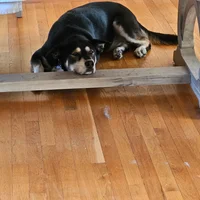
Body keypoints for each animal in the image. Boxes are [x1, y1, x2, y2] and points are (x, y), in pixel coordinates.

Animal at [30, 0, 177, 75]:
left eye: (92, 52)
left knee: (145, 39)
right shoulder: (38, 53)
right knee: (127, 43)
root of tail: (131, 14)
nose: (90, 63)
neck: (71, 34)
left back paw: (140, 49)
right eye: (74, 54)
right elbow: (36, 65)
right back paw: (118, 51)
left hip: (119, 22)